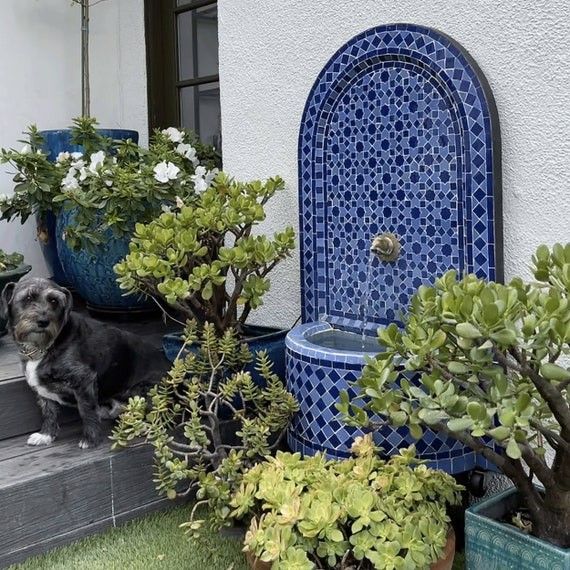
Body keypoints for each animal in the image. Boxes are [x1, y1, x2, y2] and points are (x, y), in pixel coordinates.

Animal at [0, 276, 168, 448]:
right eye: (28, 298)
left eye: (54, 301)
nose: (43, 321)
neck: (44, 346)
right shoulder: (43, 390)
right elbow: (48, 410)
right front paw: (46, 434)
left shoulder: (84, 379)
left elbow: (86, 410)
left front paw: (90, 439)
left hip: (144, 391)